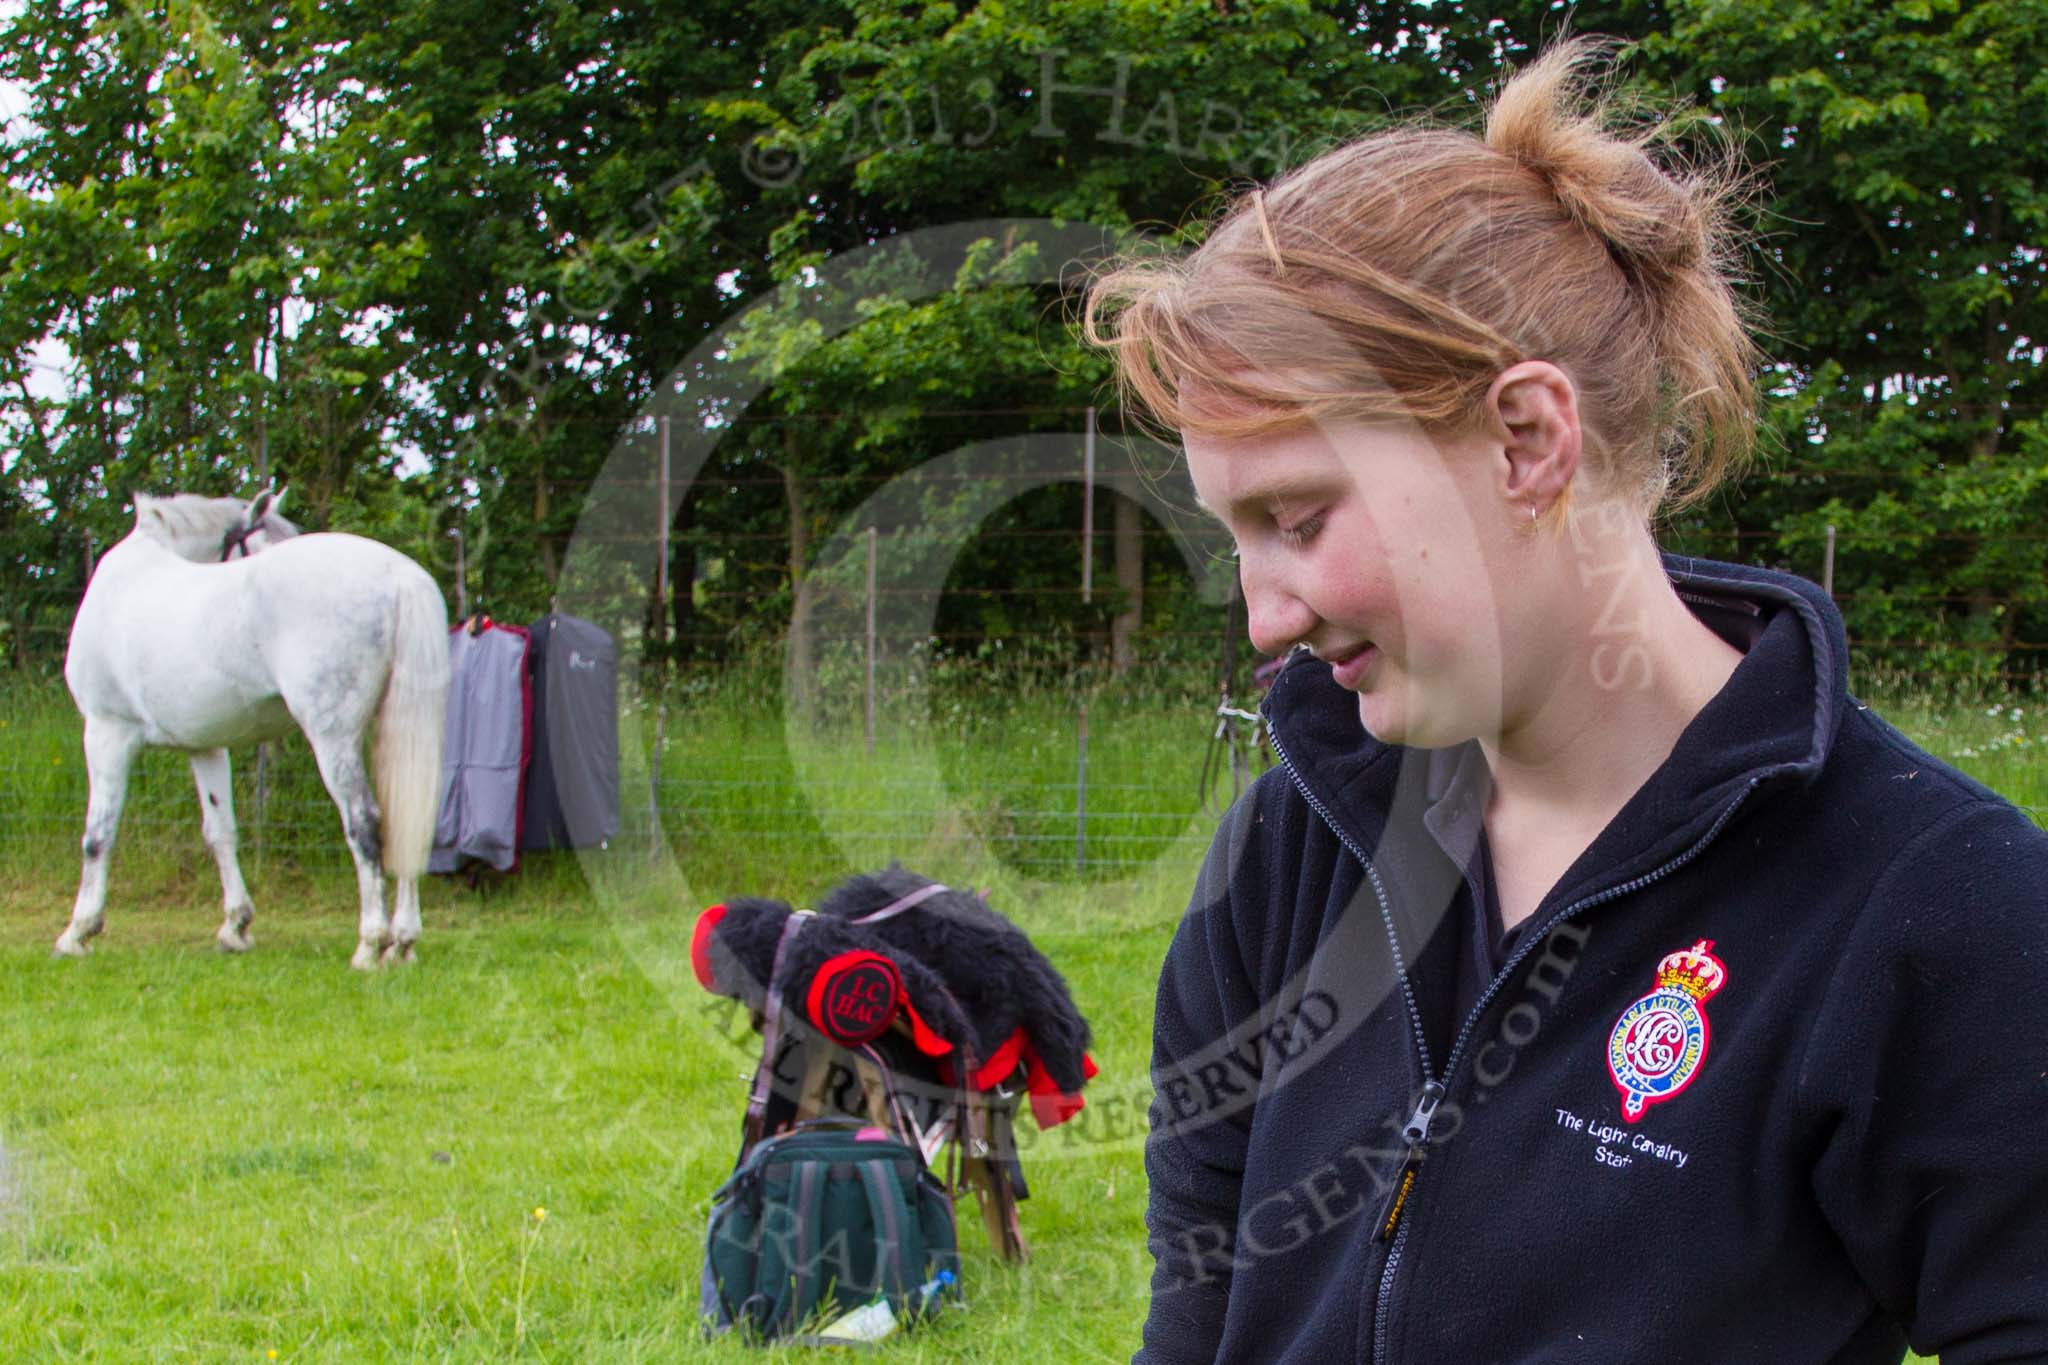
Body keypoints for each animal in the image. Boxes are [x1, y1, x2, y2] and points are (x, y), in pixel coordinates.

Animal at [58, 485, 448, 965]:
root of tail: (398, 576)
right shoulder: (204, 746)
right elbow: (221, 831)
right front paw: (236, 926)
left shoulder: (106, 733)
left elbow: (98, 835)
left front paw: (79, 931)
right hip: (393, 733)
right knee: (406, 815)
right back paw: (403, 942)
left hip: (333, 738)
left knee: (364, 821)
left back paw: (371, 943)